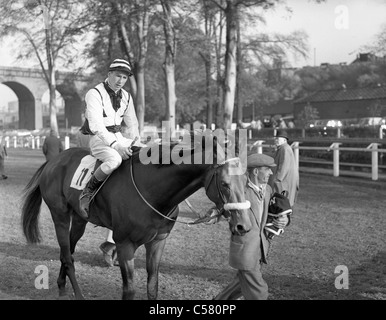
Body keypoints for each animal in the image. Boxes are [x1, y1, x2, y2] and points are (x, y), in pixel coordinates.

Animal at [20, 131, 253, 300]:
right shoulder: (125, 245)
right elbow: (129, 290)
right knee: (67, 256)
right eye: (225, 183)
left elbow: (152, 286)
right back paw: (77, 294)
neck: (152, 191)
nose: (244, 226)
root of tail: (54, 161)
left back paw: (61, 286)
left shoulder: (157, 242)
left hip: (79, 220)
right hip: (59, 215)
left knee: (67, 251)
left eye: (246, 180)